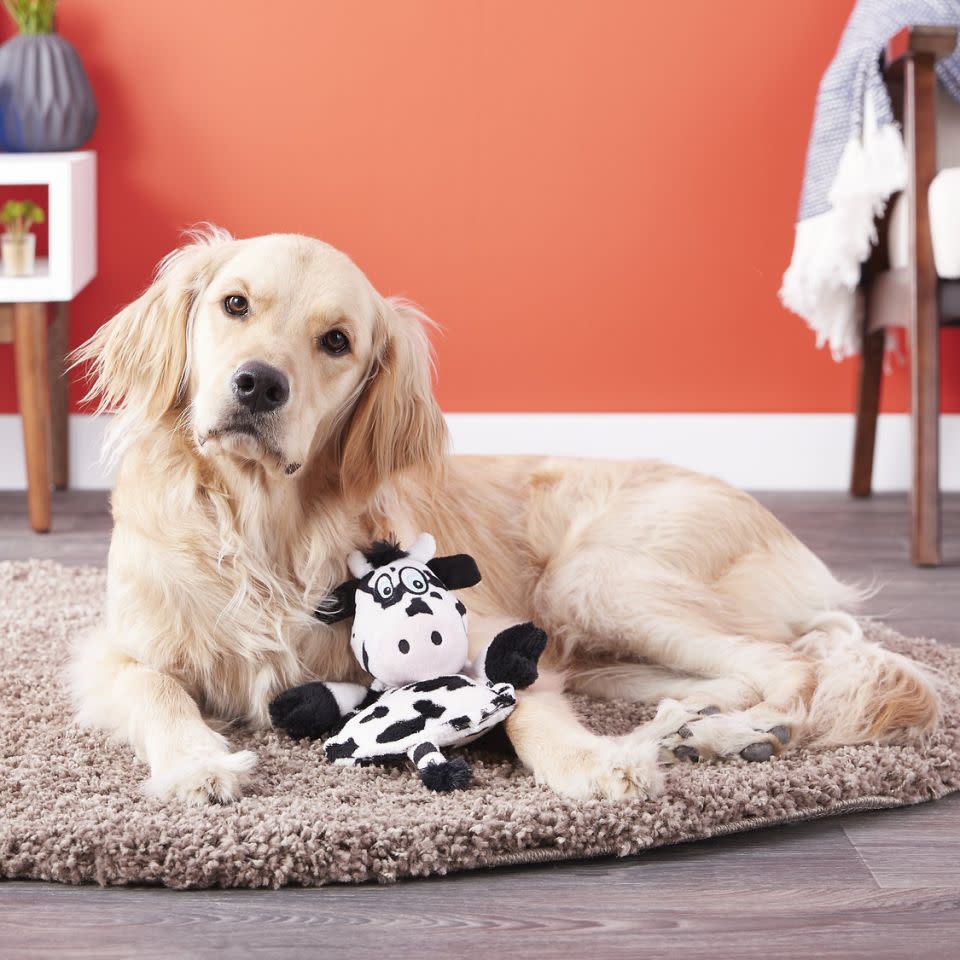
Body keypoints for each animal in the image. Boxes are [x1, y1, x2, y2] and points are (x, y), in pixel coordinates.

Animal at [71, 229, 940, 808]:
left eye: (336, 341)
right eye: (235, 305)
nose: (258, 384)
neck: (261, 530)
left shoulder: (487, 630)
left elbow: (523, 705)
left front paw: (591, 763)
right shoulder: (113, 651)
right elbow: (158, 691)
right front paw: (196, 765)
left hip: (597, 578)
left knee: (794, 667)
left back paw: (736, 734)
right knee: (740, 672)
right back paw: (701, 726)